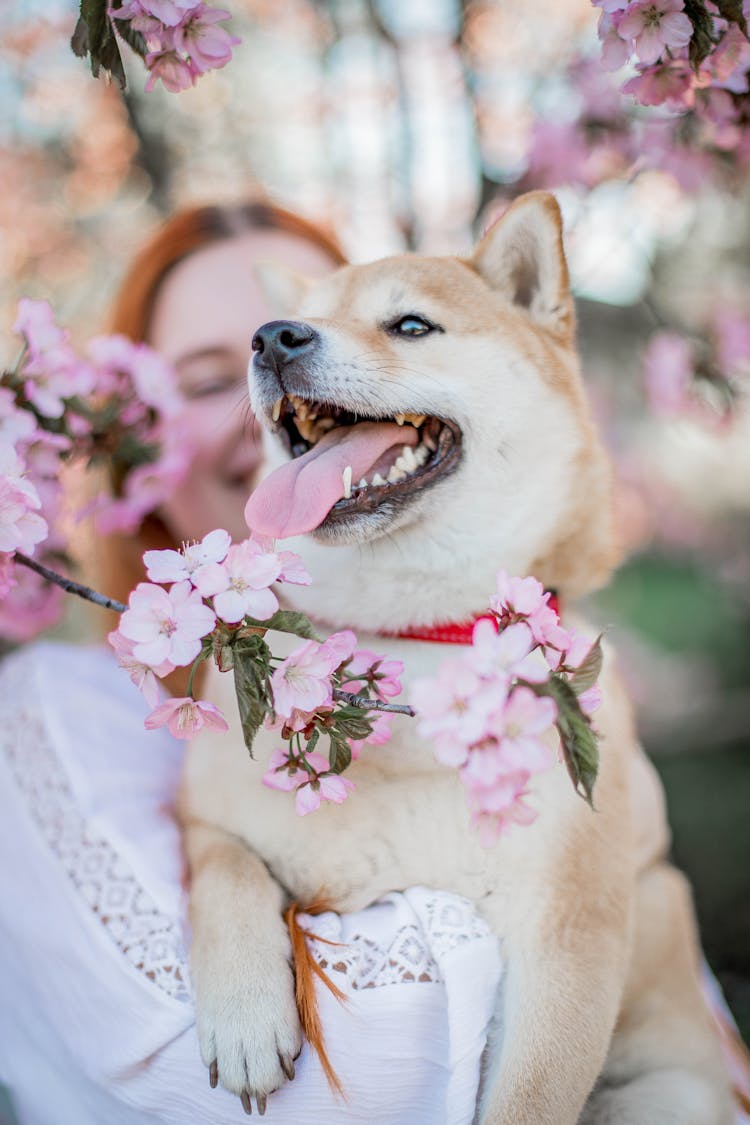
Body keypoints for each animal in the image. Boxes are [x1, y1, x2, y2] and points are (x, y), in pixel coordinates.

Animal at [179, 195, 733, 1125]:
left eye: (410, 324)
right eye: (301, 315)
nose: (272, 337)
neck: (410, 638)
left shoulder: (568, 931)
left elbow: (532, 1095)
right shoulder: (203, 811)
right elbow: (223, 868)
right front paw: (246, 1012)